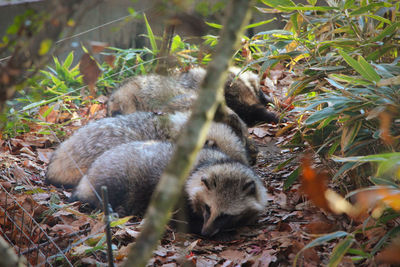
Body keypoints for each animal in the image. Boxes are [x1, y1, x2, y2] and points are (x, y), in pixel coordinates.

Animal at [71, 141, 268, 238]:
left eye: (225, 215)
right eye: (208, 208)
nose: (205, 233)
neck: (213, 163)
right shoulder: (178, 196)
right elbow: (181, 220)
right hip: (115, 174)